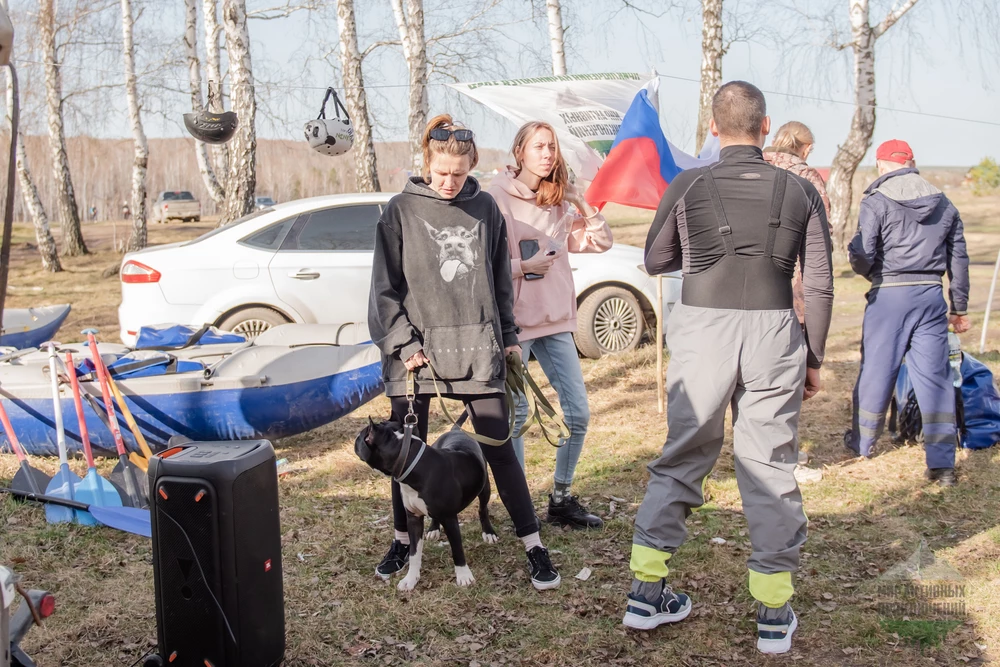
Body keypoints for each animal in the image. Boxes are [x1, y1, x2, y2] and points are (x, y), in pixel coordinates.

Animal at [360, 418, 500, 588]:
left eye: (361, 435)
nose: (357, 438)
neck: (414, 463)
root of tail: (456, 430)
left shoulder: (450, 519)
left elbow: (457, 549)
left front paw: (464, 576)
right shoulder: (413, 519)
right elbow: (414, 553)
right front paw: (410, 579)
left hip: (485, 488)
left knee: (483, 509)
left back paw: (488, 532)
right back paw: (434, 529)